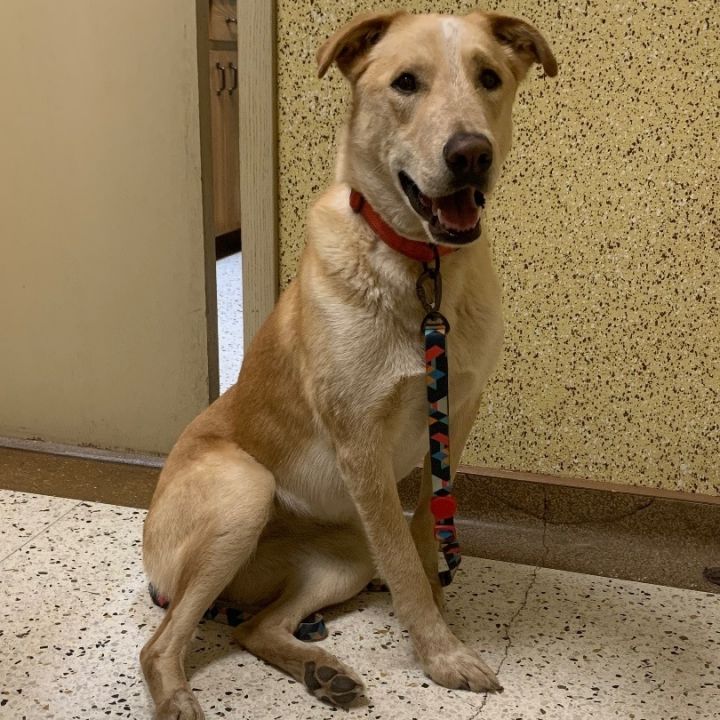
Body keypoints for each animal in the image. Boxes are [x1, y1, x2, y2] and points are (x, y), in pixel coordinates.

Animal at [141, 8, 556, 716]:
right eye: (406, 82)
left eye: (489, 77)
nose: (471, 154)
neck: (422, 272)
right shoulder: (360, 439)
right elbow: (406, 561)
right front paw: (440, 654)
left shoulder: (454, 420)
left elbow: (423, 538)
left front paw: (439, 614)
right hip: (243, 493)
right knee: (160, 643)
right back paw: (179, 699)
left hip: (343, 561)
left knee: (255, 626)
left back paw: (321, 671)